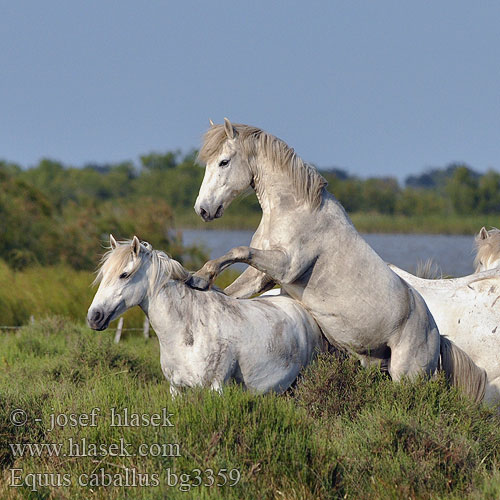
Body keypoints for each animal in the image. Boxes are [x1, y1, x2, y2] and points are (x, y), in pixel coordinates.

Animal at [88, 236, 326, 396]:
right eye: (103, 274)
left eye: (124, 274)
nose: (94, 317)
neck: (188, 331)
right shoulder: (176, 389)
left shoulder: (215, 387)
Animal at [187, 118, 484, 402]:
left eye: (224, 162)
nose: (202, 210)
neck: (293, 210)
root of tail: (435, 334)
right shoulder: (263, 276)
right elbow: (233, 288)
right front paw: (201, 284)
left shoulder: (286, 266)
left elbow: (239, 251)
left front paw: (199, 278)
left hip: (407, 375)